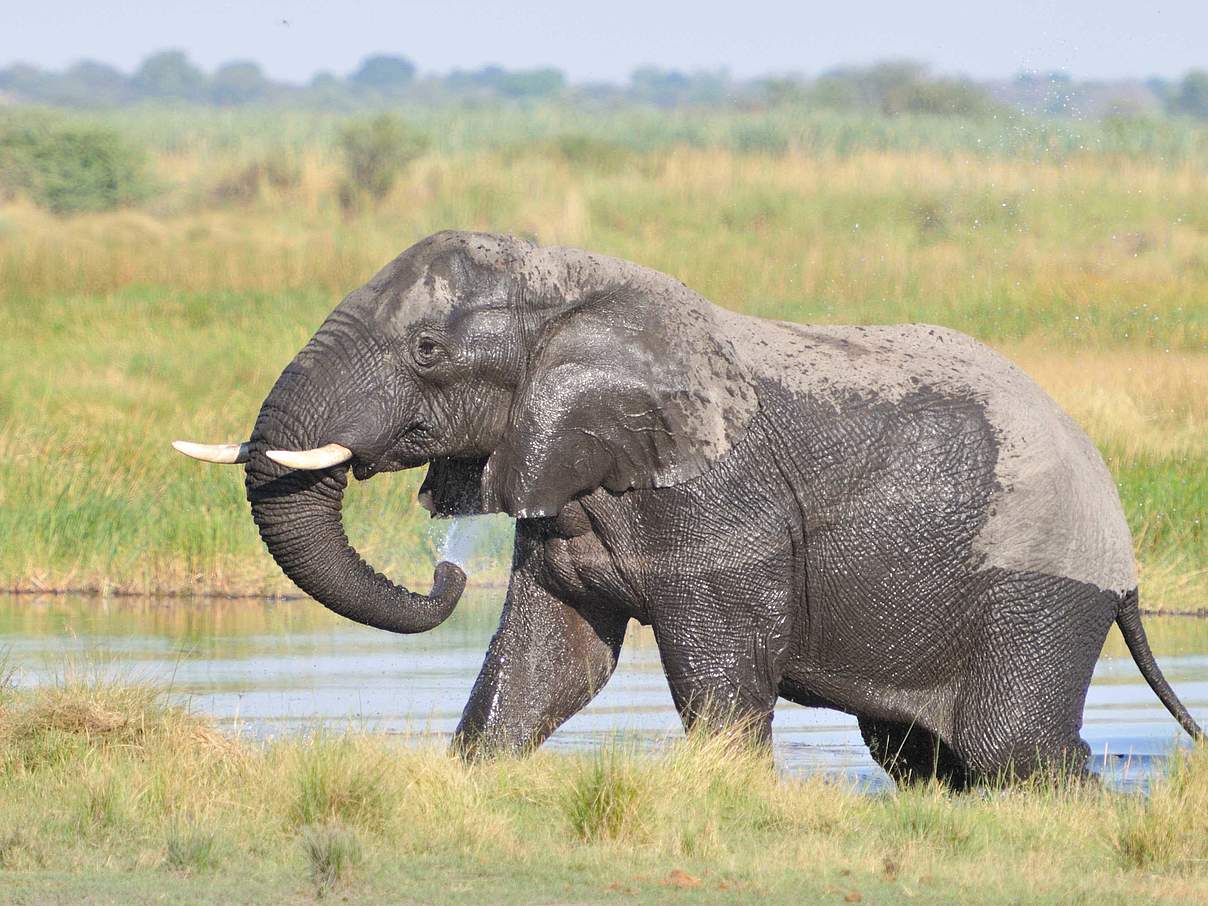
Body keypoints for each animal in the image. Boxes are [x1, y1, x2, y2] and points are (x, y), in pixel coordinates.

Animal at [175, 228, 1203, 787]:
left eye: (427, 349)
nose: (446, 568)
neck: (570, 286)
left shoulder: (721, 507)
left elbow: (721, 665)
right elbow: (550, 661)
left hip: (1037, 585)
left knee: (1009, 749)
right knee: (917, 754)